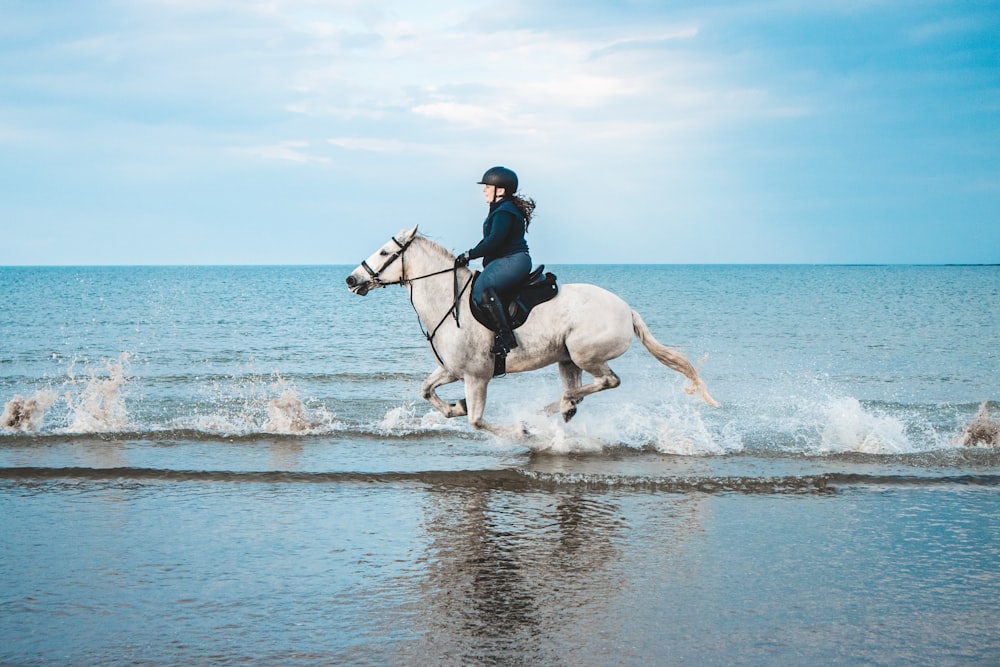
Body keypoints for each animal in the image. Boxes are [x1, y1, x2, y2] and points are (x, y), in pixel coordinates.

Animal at [346, 227, 720, 440]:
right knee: (579, 389)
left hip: (584, 352)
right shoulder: (452, 369)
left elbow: (477, 422)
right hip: (568, 359)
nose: (352, 279)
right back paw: (560, 409)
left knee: (607, 381)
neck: (448, 301)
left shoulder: (476, 376)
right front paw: (455, 406)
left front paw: (519, 430)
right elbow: (426, 391)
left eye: (384, 252)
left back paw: (550, 411)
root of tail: (627, 310)